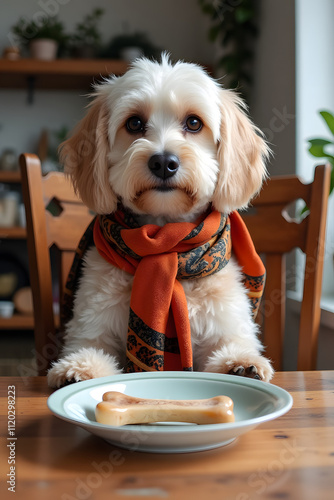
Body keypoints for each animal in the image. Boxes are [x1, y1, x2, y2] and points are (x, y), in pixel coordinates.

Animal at [48, 55, 276, 390]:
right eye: (134, 123)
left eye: (194, 123)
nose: (164, 162)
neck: (167, 243)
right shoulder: (90, 326)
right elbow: (90, 348)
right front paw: (80, 369)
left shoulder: (229, 324)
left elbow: (234, 345)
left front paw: (241, 364)